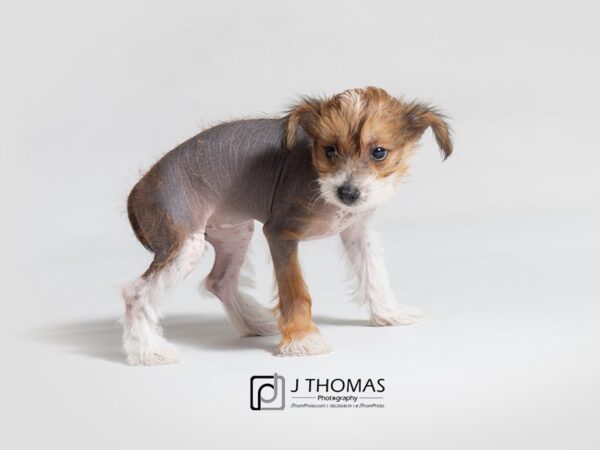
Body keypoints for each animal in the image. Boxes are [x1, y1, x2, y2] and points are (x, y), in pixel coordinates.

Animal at [120, 86, 450, 364]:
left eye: (378, 152)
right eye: (330, 150)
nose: (347, 193)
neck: (317, 177)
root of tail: (137, 189)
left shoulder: (356, 232)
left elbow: (373, 274)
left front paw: (388, 314)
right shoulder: (279, 234)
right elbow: (295, 292)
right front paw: (303, 340)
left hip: (235, 233)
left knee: (219, 281)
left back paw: (253, 322)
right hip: (186, 245)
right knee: (135, 293)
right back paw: (147, 351)